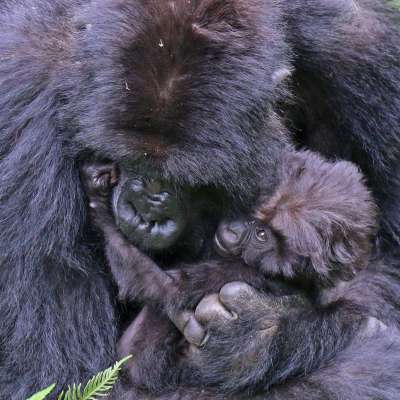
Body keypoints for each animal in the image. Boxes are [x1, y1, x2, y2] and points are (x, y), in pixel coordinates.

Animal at [0, 0, 400, 400]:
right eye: (129, 161)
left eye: (187, 179)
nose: (145, 209)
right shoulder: (24, 103)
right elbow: (61, 376)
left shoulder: (357, 44)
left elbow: (383, 257)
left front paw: (258, 337)